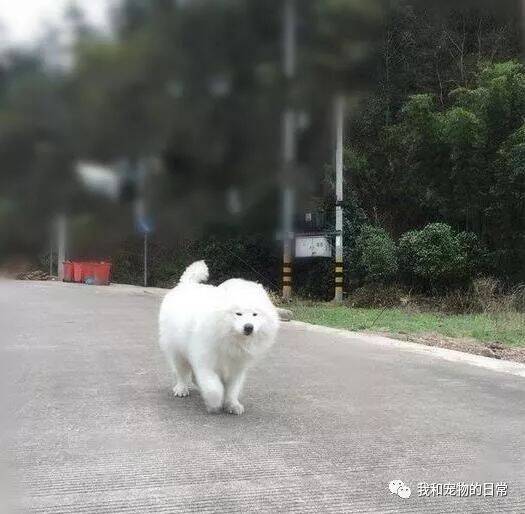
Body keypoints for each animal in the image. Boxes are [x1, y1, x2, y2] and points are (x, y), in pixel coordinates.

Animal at [159, 260, 278, 412]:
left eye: (255, 314)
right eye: (238, 314)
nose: (249, 327)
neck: (230, 338)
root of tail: (185, 284)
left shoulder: (237, 366)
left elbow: (233, 388)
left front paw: (232, 404)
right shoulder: (205, 360)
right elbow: (213, 386)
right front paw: (215, 402)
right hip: (176, 349)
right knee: (181, 371)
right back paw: (181, 389)